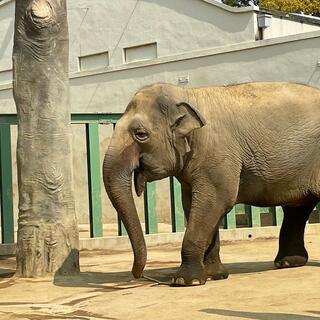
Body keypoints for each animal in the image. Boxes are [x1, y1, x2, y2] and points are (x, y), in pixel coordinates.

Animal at [103, 81, 320, 286]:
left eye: (140, 134)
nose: (137, 274)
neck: (187, 95)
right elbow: (196, 206)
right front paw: (214, 276)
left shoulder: (219, 156)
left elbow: (214, 202)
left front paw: (185, 281)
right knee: (297, 208)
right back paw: (288, 262)